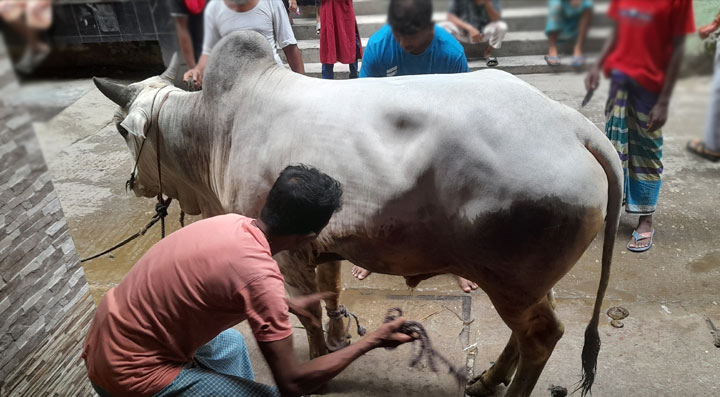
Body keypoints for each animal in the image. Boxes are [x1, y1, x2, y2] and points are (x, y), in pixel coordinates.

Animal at [94, 31, 624, 396]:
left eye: (121, 129)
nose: (135, 184)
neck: (214, 127)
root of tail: (573, 125)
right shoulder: (321, 244)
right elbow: (330, 293)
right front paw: (338, 338)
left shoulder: (281, 253)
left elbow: (303, 312)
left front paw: (316, 364)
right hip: (523, 282)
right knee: (530, 328)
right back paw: (487, 380)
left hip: (510, 280)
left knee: (541, 336)